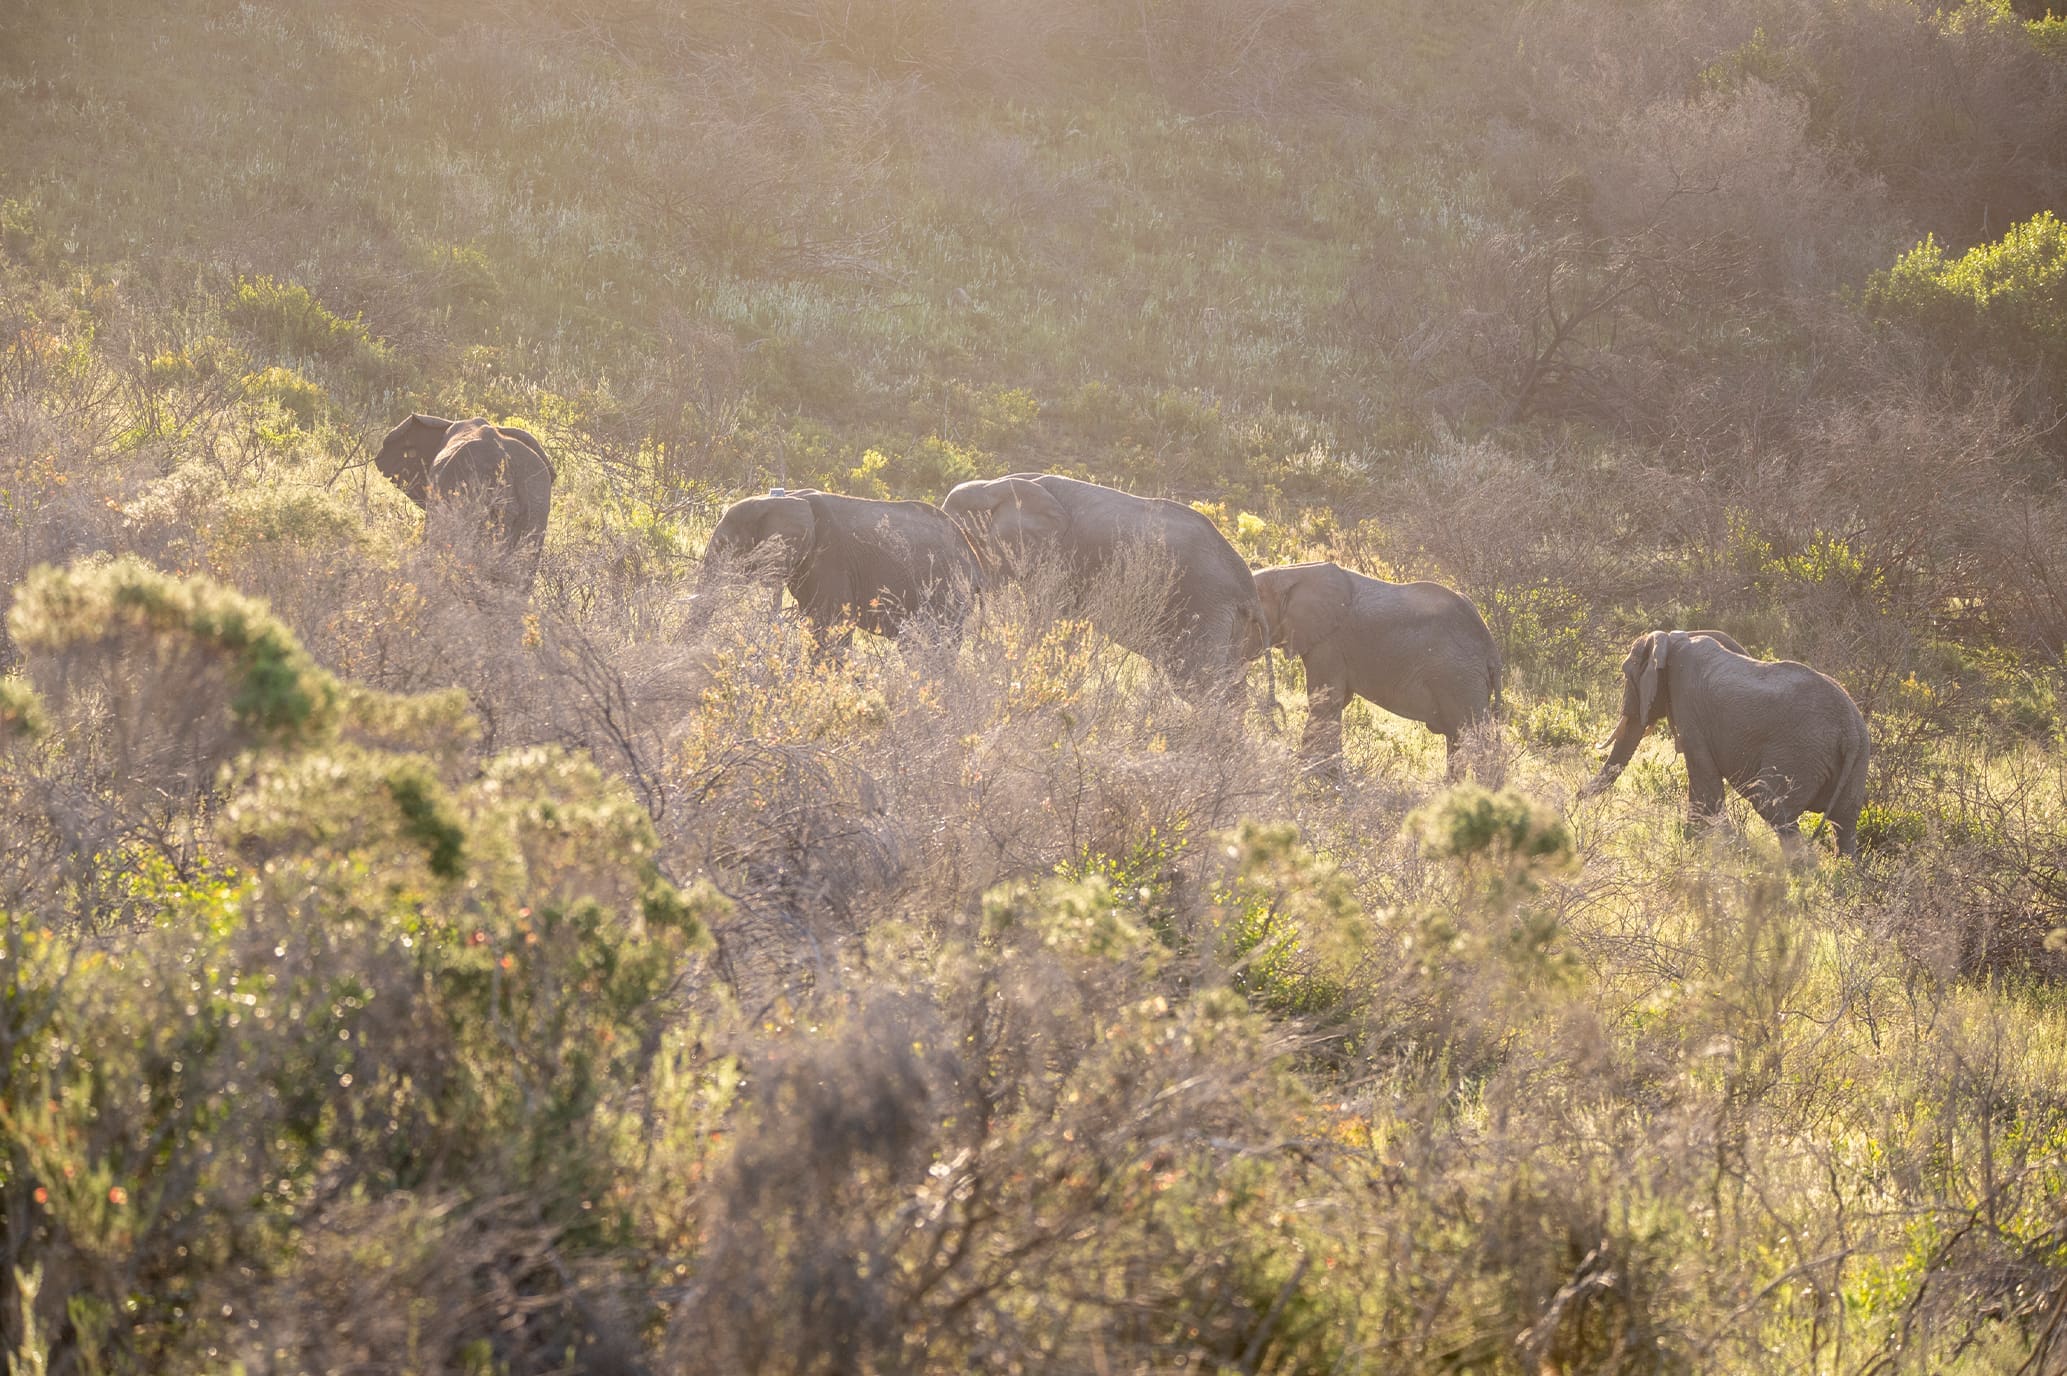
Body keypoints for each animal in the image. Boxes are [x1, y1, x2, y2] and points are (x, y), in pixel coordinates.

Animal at [941, 473, 1269, 705]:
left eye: (966, 540)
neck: (996, 484)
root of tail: (1248, 589)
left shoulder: (1057, 560)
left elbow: (1046, 623)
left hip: (1204, 607)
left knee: (1201, 686)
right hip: (1231, 624)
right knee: (1231, 690)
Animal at [1250, 561, 1501, 775]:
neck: (1290, 573)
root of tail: (1491, 647)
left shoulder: (1328, 642)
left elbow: (1325, 700)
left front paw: (1310, 774)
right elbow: (1338, 700)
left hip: (1459, 677)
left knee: (1476, 739)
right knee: (1457, 739)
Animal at [1579, 629, 1870, 857]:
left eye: (1626, 673)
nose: (1576, 799)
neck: (1673, 639)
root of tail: (1850, 728)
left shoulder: (1689, 707)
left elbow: (1704, 780)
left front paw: (1696, 846)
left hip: (1800, 753)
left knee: (1772, 805)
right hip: (1857, 761)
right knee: (1844, 822)